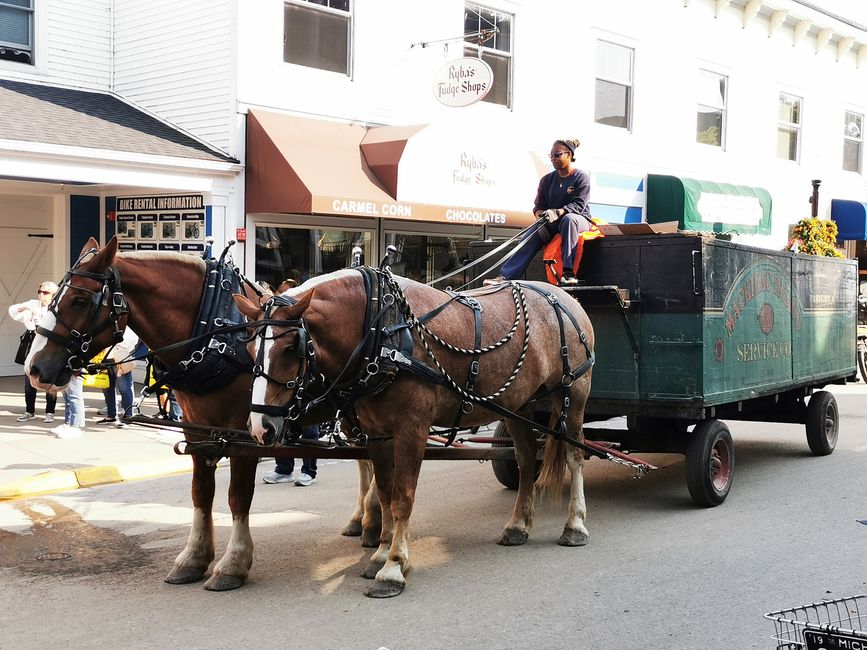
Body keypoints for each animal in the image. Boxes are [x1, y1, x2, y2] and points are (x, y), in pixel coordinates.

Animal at [26, 237, 380, 588]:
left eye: (80, 300)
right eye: (55, 296)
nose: (35, 368)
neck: (219, 336)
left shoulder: (246, 434)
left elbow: (238, 496)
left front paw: (233, 563)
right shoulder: (197, 429)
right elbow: (201, 493)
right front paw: (194, 557)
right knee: (368, 462)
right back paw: (363, 520)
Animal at [236, 266, 596, 596]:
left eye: (290, 349)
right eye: (250, 351)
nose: (260, 427)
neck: (381, 331)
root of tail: (565, 297)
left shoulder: (412, 431)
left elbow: (402, 498)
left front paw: (394, 567)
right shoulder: (378, 435)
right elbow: (384, 494)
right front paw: (381, 554)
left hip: (573, 394)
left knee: (575, 455)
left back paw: (575, 524)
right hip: (519, 407)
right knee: (525, 459)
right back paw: (518, 524)